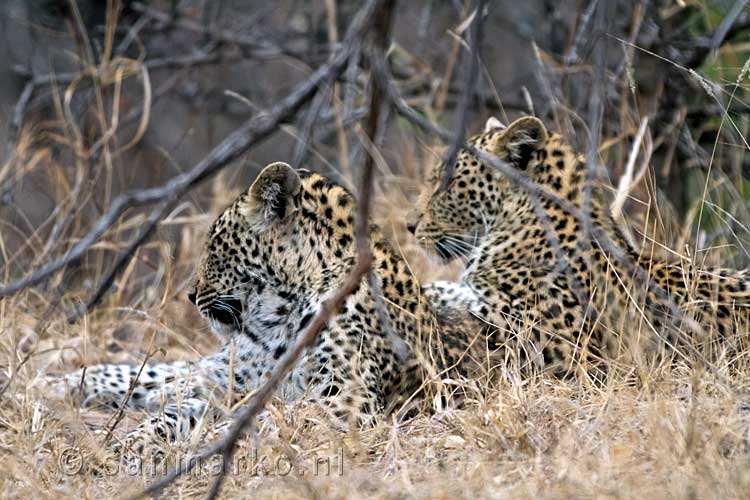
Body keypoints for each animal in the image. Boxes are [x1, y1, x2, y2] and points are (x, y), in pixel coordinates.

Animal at [47, 161, 494, 454]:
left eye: (215, 248)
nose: (191, 295)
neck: (280, 322)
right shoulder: (231, 386)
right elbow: (172, 410)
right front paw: (130, 441)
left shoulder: (344, 400)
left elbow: (255, 421)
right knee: (161, 374)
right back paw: (57, 382)